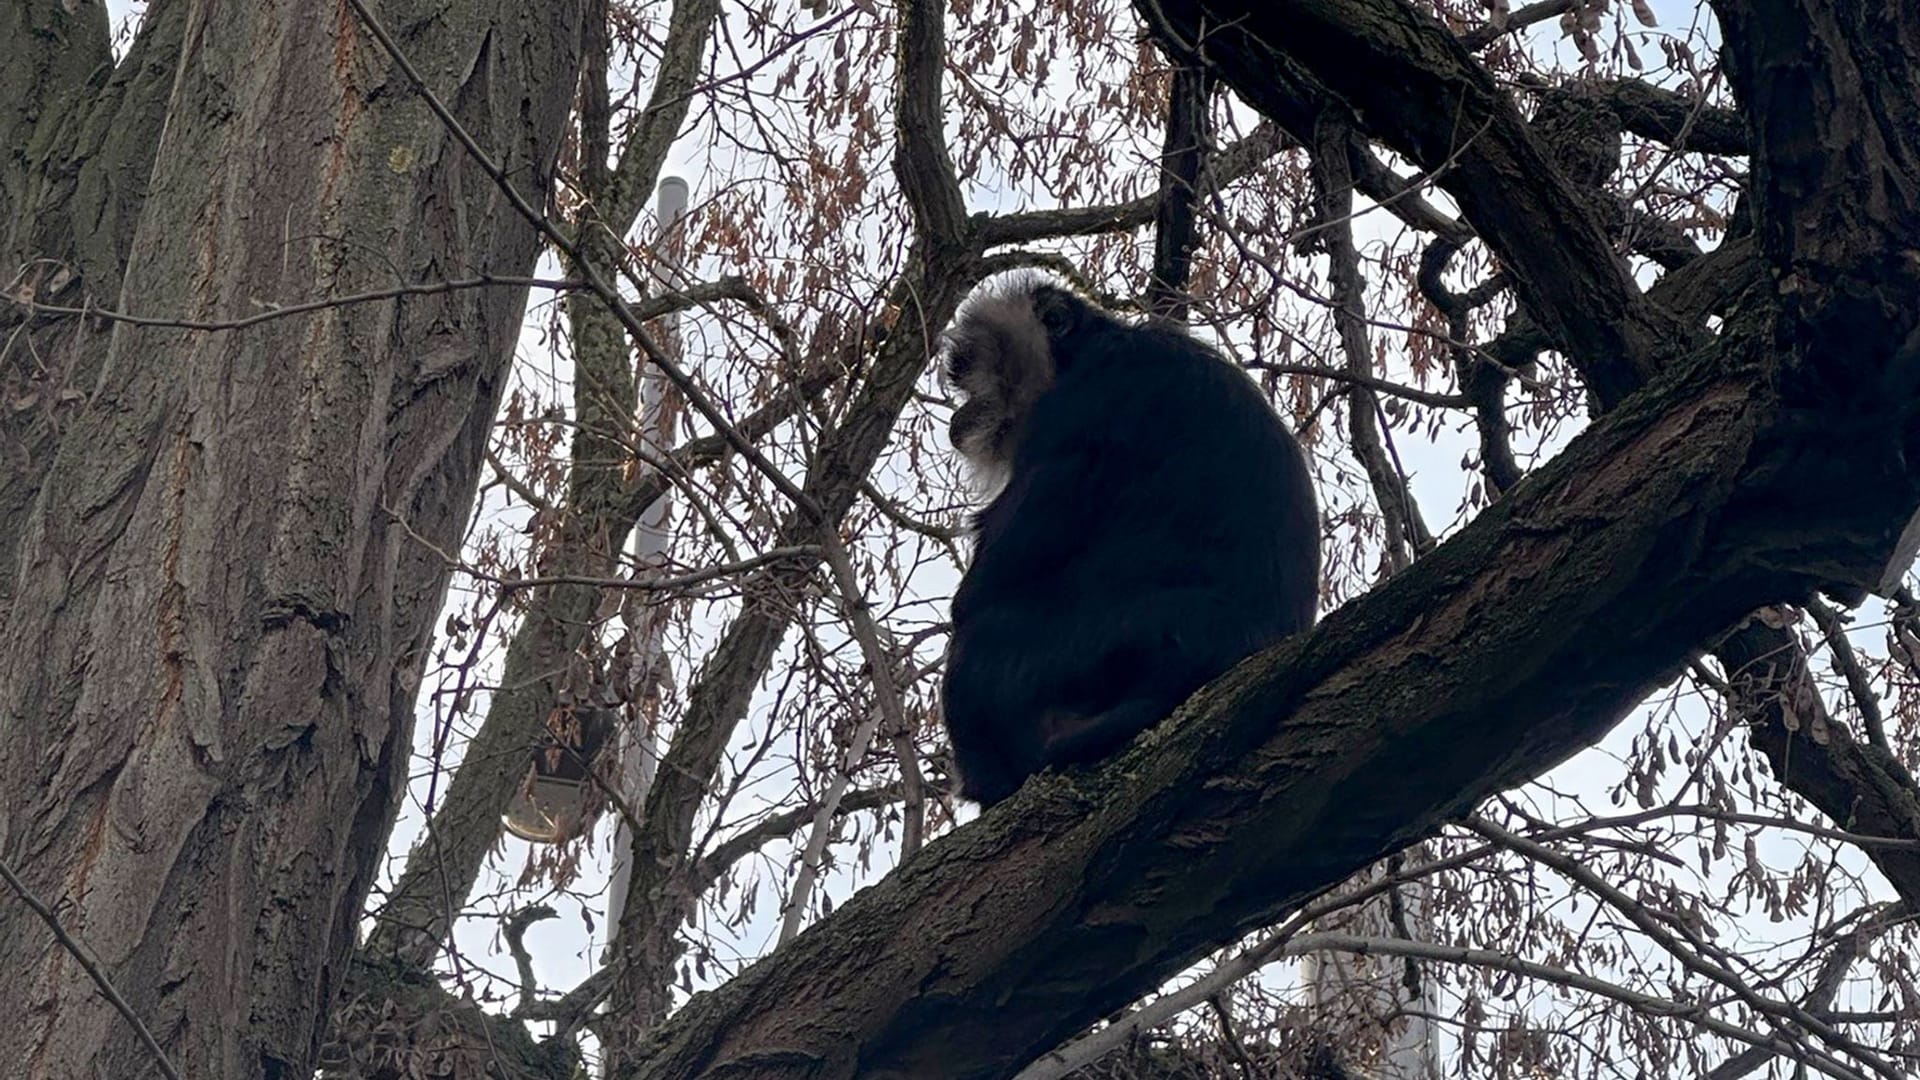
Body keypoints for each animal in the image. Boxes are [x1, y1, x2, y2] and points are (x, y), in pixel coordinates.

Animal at [933, 272, 1320, 803]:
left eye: (971, 369)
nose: (963, 412)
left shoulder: (1078, 406)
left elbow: (982, 590)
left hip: (1093, 648)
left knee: (979, 644)